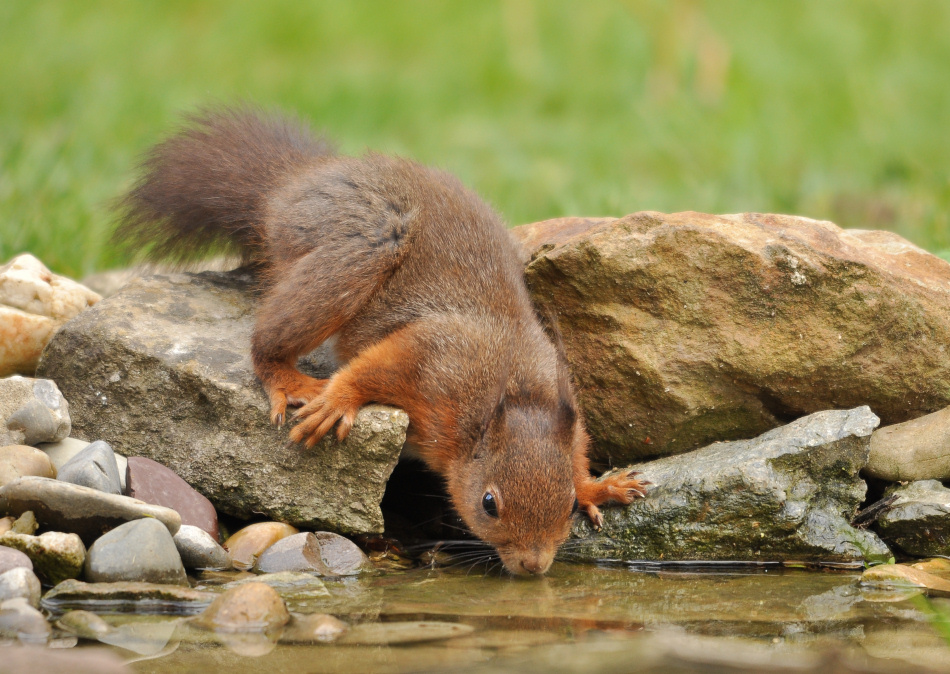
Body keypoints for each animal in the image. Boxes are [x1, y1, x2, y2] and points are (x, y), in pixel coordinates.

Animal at [111, 105, 648, 572]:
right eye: (488, 503)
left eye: (566, 504)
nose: (533, 567)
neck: (512, 391)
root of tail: (295, 184)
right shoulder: (430, 357)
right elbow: (374, 366)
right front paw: (337, 401)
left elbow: (578, 449)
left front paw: (600, 488)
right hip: (360, 247)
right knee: (268, 340)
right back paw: (284, 376)